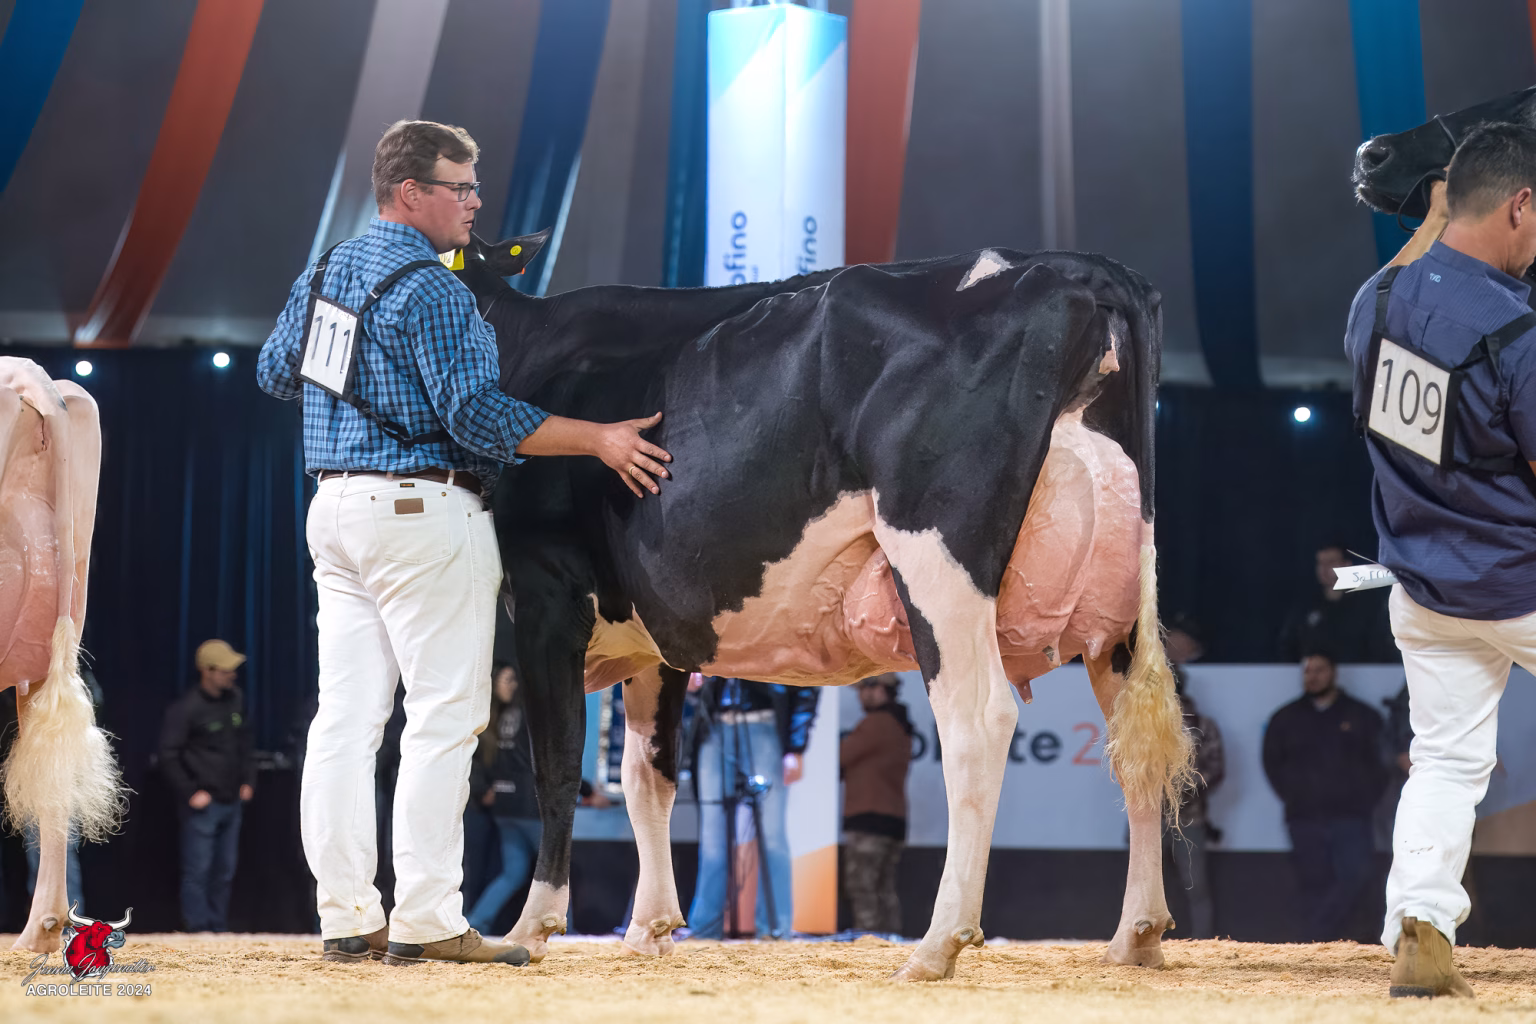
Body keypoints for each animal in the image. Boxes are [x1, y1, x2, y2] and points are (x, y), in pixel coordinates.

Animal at [447, 237, 1193, 981]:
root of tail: (1078, 266)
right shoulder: (654, 639)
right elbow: (646, 774)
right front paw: (648, 928)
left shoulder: (546, 596)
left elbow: (557, 763)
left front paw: (535, 925)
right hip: (1120, 605)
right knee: (1133, 741)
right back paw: (1136, 936)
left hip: (938, 558)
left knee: (979, 722)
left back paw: (938, 943)